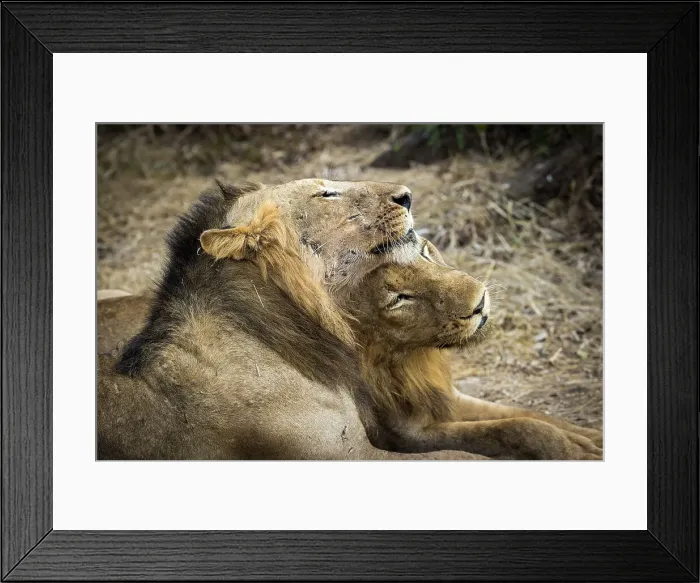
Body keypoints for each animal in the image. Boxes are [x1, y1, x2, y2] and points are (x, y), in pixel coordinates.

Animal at [98, 193, 600, 459]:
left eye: (425, 251)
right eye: (399, 298)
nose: (479, 303)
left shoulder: (442, 398)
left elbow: (528, 419)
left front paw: (585, 439)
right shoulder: (397, 434)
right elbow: (485, 441)